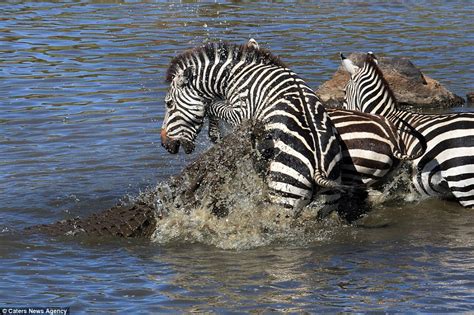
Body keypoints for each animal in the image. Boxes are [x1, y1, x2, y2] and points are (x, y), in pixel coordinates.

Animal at [160, 40, 344, 214]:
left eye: (169, 104)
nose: (165, 145)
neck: (232, 77)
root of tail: (318, 168)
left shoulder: (242, 112)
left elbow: (212, 106)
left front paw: (214, 133)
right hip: (326, 202)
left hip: (284, 192)